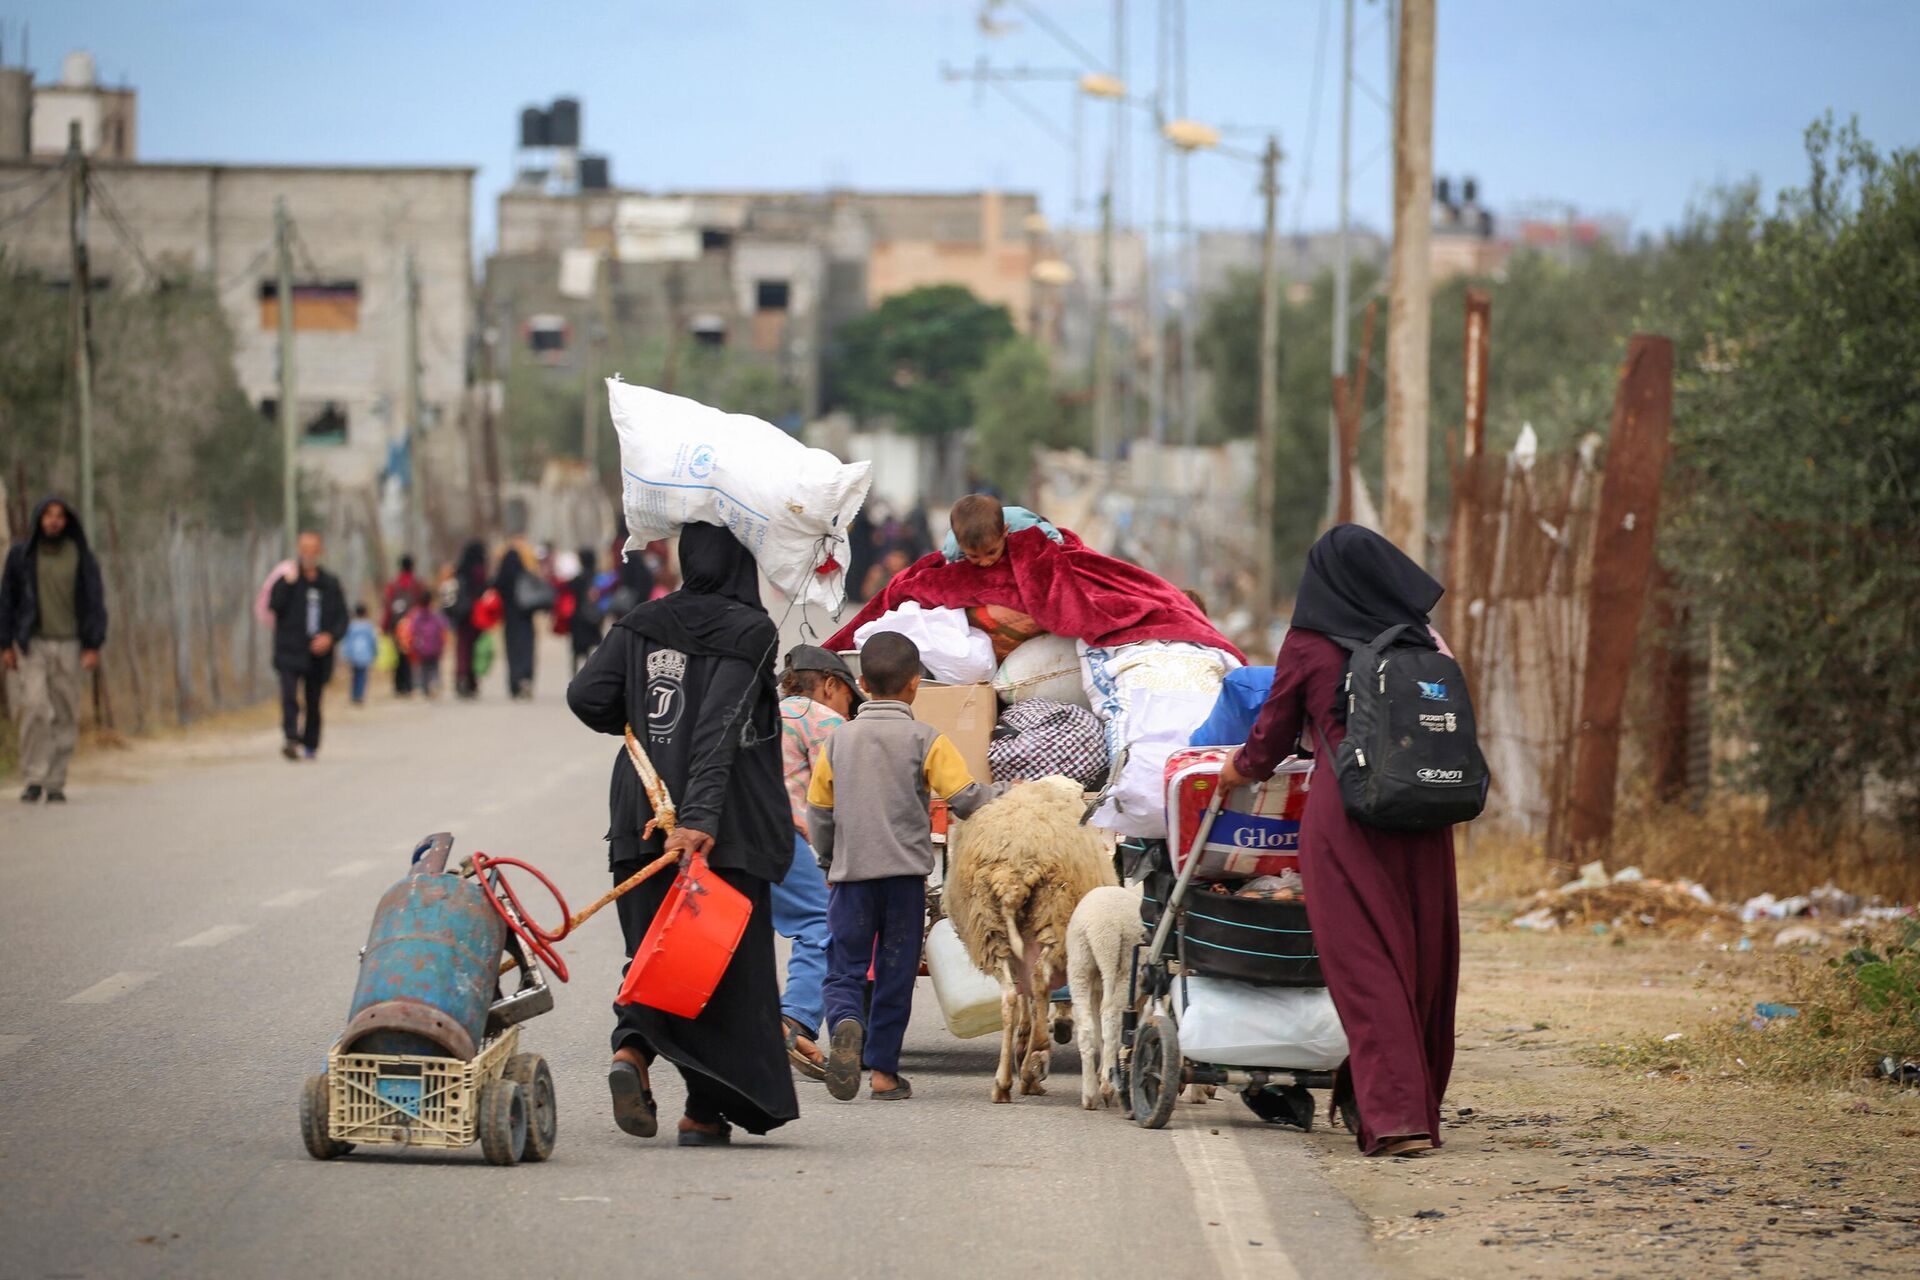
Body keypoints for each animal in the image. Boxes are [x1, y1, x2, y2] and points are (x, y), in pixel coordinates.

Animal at [940, 775, 1121, 1105]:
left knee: (1011, 996)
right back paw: (1035, 1057)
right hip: (1054, 918)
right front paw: (1033, 1047)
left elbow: (1026, 998)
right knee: (1039, 982)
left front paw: (1024, 1043)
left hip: (990, 929)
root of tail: (1012, 872)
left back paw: (1004, 1082)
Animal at [1067, 886, 1136, 1105]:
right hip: (1124, 970)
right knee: (1111, 1021)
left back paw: (1090, 1094)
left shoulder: (1096, 990)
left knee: (1087, 1027)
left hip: (1080, 965)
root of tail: (1099, 927)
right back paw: (1107, 1085)